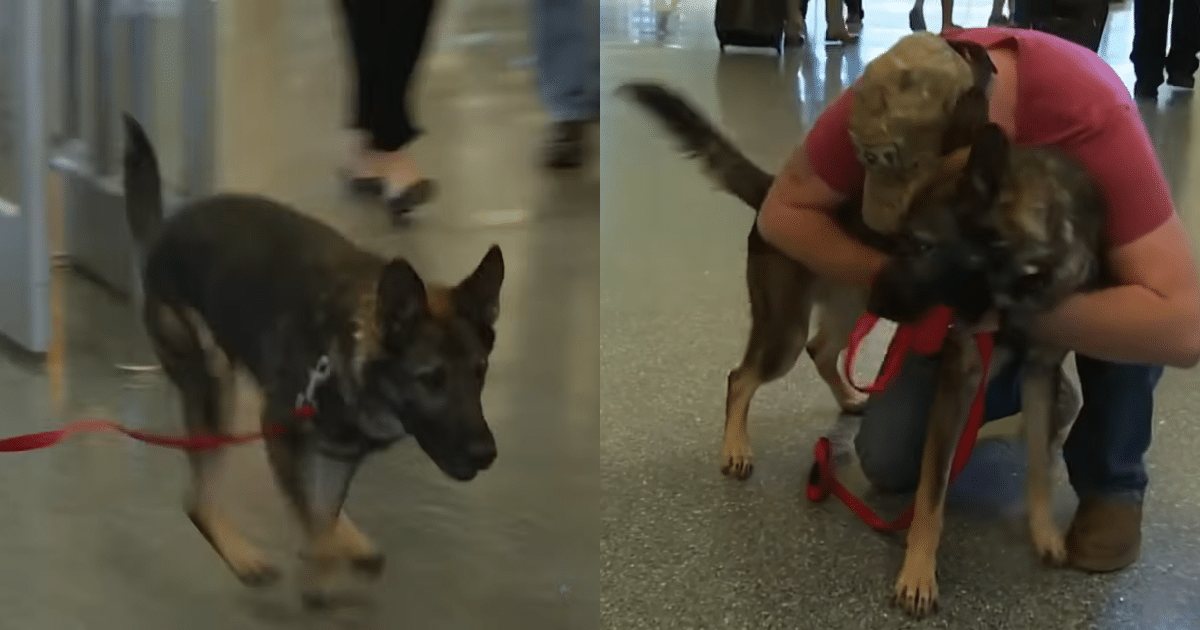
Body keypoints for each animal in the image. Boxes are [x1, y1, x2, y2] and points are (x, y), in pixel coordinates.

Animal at [125, 115, 506, 607]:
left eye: (479, 373)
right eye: (431, 379)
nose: (486, 454)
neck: (352, 342)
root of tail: (161, 234)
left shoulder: (338, 454)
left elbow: (323, 511)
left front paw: (329, 551)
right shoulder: (278, 429)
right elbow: (312, 517)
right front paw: (318, 569)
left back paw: (348, 540)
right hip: (213, 381)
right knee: (199, 501)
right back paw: (245, 556)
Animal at [619, 81, 1104, 614]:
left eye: (922, 245)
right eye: (901, 239)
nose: (880, 295)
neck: (1014, 282)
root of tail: (771, 190)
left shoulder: (1040, 374)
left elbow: (1038, 464)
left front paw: (1045, 532)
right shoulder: (958, 382)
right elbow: (930, 496)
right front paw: (918, 574)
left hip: (845, 310)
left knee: (821, 350)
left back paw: (850, 399)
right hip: (787, 332)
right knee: (741, 377)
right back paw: (736, 447)